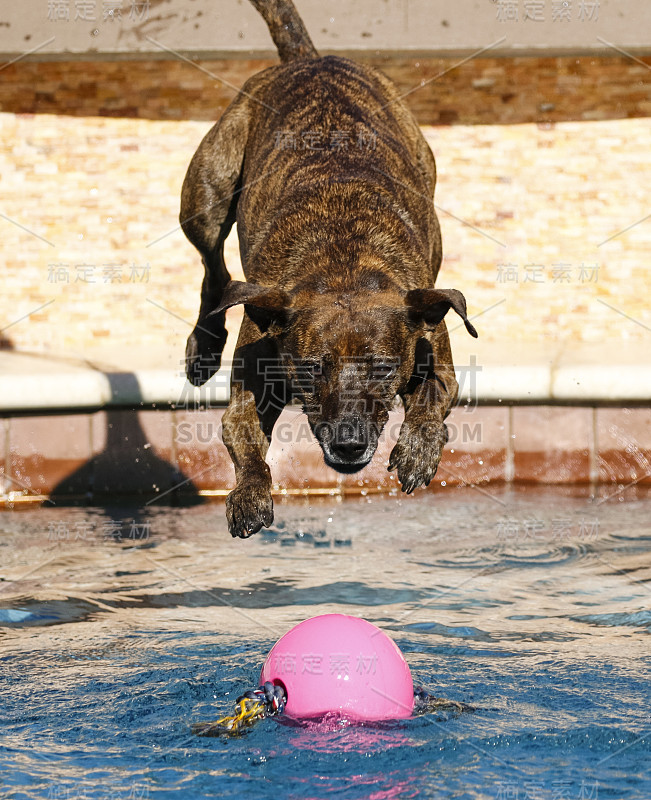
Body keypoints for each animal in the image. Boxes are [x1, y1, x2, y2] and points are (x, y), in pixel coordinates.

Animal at [181, 1, 476, 536]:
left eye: (384, 368)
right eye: (311, 367)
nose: (348, 442)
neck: (345, 265)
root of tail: (310, 59)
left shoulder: (436, 351)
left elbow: (431, 402)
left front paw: (418, 453)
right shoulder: (249, 388)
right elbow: (244, 441)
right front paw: (250, 496)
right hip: (207, 194)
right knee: (214, 270)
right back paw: (204, 345)